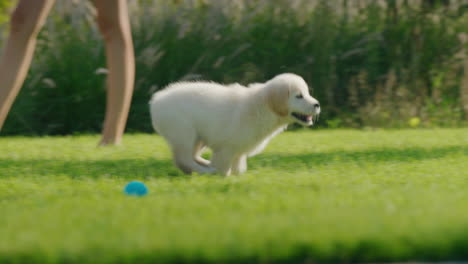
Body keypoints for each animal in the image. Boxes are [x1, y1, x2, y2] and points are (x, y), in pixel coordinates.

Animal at [152, 72, 320, 175]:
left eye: (307, 93)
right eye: (299, 96)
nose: (317, 104)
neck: (262, 106)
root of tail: (156, 101)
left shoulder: (239, 150)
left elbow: (238, 167)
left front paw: (238, 177)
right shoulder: (226, 148)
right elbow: (223, 167)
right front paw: (222, 176)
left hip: (197, 138)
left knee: (190, 157)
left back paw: (206, 164)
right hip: (183, 133)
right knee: (183, 160)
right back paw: (208, 170)